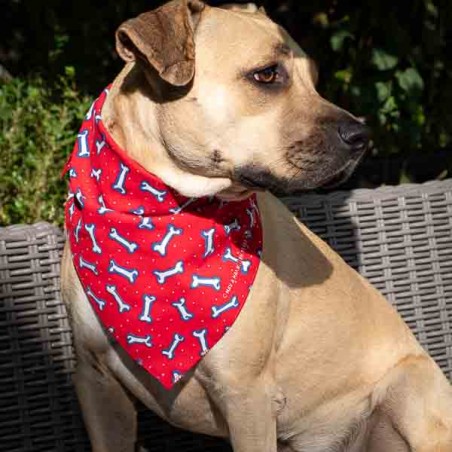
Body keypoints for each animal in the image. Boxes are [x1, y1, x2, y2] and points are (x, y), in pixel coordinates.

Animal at [60, 1, 452, 450]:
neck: (163, 210)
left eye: (313, 80)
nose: (362, 135)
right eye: (266, 74)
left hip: (409, 387)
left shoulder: (246, 396)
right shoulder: (95, 380)